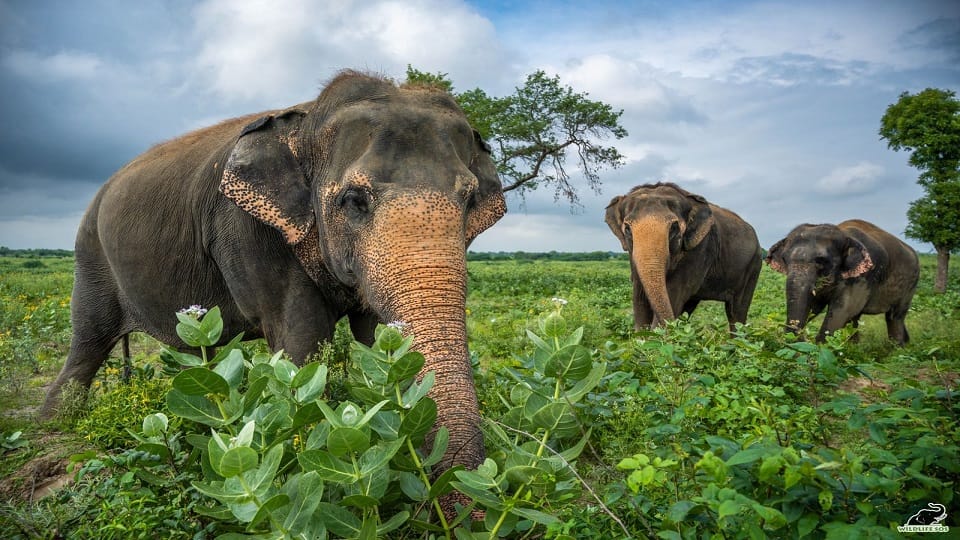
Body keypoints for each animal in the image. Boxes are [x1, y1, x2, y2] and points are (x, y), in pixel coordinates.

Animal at [40, 71, 507, 494]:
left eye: (469, 199)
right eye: (354, 201)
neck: (308, 120)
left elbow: (372, 336)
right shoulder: (248, 231)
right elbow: (301, 339)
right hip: (90, 253)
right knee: (88, 341)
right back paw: (55, 425)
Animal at [605, 182, 763, 331]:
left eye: (674, 228)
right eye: (627, 229)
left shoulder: (700, 249)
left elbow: (674, 293)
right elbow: (639, 295)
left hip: (753, 266)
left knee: (736, 311)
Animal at [766, 219, 919, 345]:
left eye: (821, 261)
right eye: (784, 259)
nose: (802, 336)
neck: (844, 235)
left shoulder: (862, 277)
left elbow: (842, 309)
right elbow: (815, 307)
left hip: (911, 284)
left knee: (894, 316)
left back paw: (897, 348)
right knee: (856, 318)